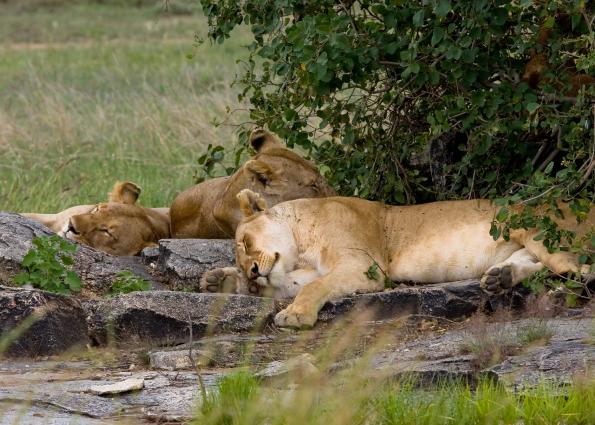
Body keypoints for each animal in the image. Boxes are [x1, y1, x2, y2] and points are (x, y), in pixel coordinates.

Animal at [203, 189, 592, 328]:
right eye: (241, 258)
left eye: (246, 242)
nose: (253, 273)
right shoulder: (304, 272)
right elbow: (298, 286)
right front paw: (222, 280)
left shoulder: (364, 267)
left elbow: (314, 289)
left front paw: (295, 316)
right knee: (543, 264)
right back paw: (502, 277)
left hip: (533, 225)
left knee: (580, 267)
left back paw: (561, 294)